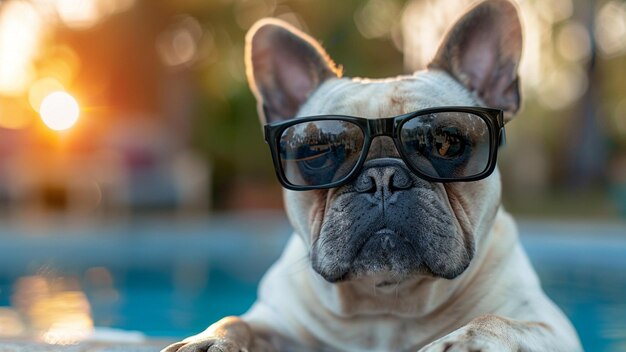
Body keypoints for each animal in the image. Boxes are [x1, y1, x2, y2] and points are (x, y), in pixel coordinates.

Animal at [165, 1, 580, 350]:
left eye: (445, 143)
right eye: (318, 151)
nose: (382, 178)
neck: (387, 303)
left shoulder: (547, 323)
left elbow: (499, 321)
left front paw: (462, 343)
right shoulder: (278, 322)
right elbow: (238, 320)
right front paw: (208, 339)